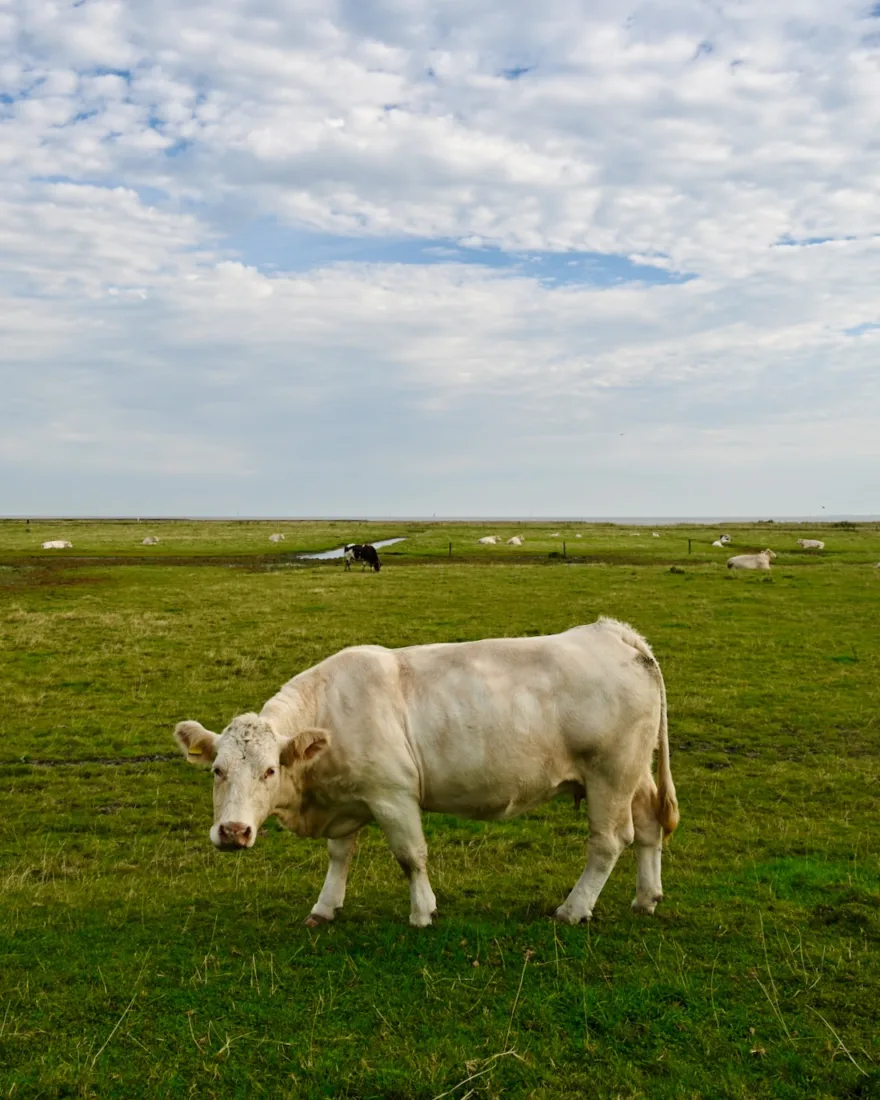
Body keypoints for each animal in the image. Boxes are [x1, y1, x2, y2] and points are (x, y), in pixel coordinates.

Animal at [173, 618, 679, 928]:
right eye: (217, 770)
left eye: (270, 770)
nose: (233, 831)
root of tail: (612, 632)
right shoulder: (347, 798)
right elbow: (340, 856)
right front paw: (325, 907)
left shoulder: (392, 795)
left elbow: (411, 856)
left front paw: (422, 912)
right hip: (634, 772)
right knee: (648, 826)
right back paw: (646, 898)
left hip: (610, 774)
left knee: (608, 842)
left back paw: (574, 909)